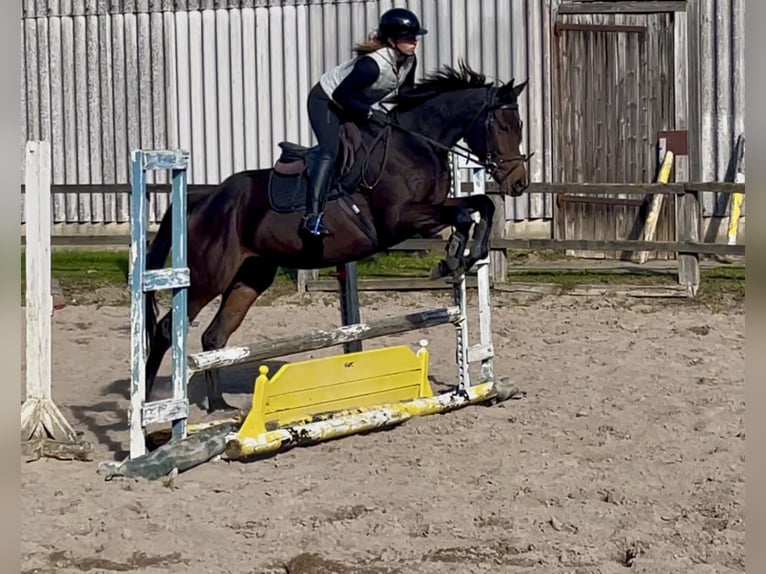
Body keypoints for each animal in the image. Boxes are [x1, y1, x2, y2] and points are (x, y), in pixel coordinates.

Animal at [143, 61, 531, 414]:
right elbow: (466, 214)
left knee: (215, 335)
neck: (416, 144)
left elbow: (480, 206)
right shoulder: (402, 220)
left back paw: (219, 406)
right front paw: (453, 258)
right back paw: (151, 412)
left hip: (250, 276)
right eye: (502, 125)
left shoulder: (432, 212)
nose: (518, 183)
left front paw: (459, 257)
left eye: (520, 126)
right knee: (167, 330)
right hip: (209, 276)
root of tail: (204, 200)